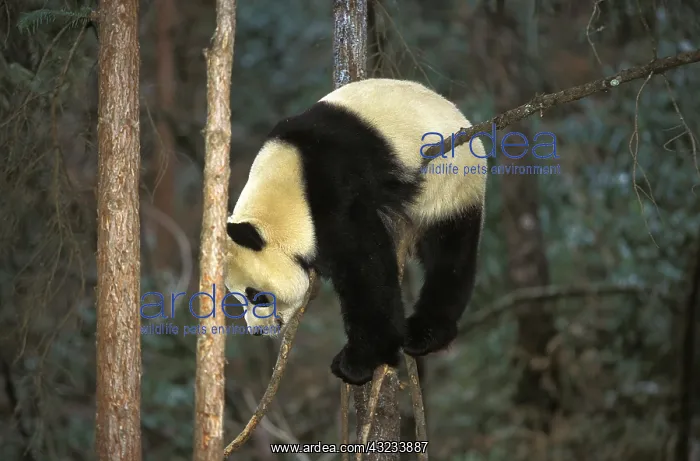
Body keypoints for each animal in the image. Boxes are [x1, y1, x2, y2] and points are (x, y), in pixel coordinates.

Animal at [224, 78, 487, 385]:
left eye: (257, 296)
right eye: (237, 298)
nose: (257, 331)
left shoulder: (337, 190)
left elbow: (365, 268)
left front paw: (357, 361)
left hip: (450, 181)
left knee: (449, 252)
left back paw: (425, 333)